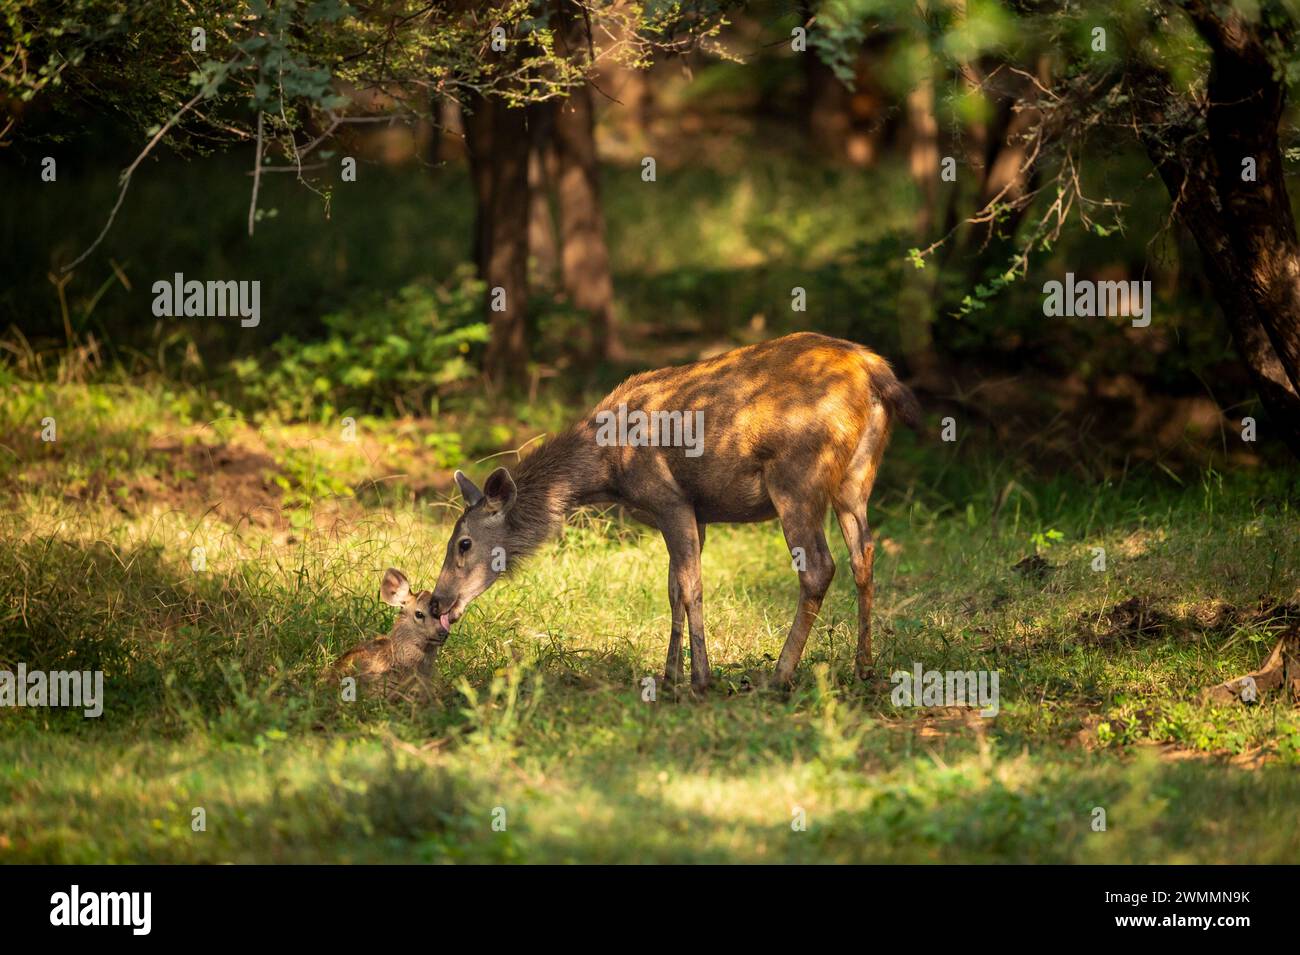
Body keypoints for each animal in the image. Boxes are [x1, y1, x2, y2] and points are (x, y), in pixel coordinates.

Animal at [426, 335, 915, 686]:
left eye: (463, 543)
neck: (607, 469)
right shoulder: (696, 512)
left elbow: (691, 586)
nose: (436, 602)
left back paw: (779, 676)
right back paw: (864, 667)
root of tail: (875, 373)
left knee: (818, 568)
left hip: (796, 477)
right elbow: (673, 588)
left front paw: (700, 678)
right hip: (856, 478)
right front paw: (669, 674)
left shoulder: (670, 499)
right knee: (864, 557)